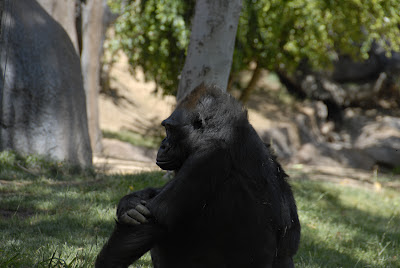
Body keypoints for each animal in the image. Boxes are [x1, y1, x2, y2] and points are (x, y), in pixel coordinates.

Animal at [94, 85, 300, 266]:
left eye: (170, 129)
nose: (163, 145)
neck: (221, 129)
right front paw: (129, 202)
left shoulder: (209, 154)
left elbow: (158, 217)